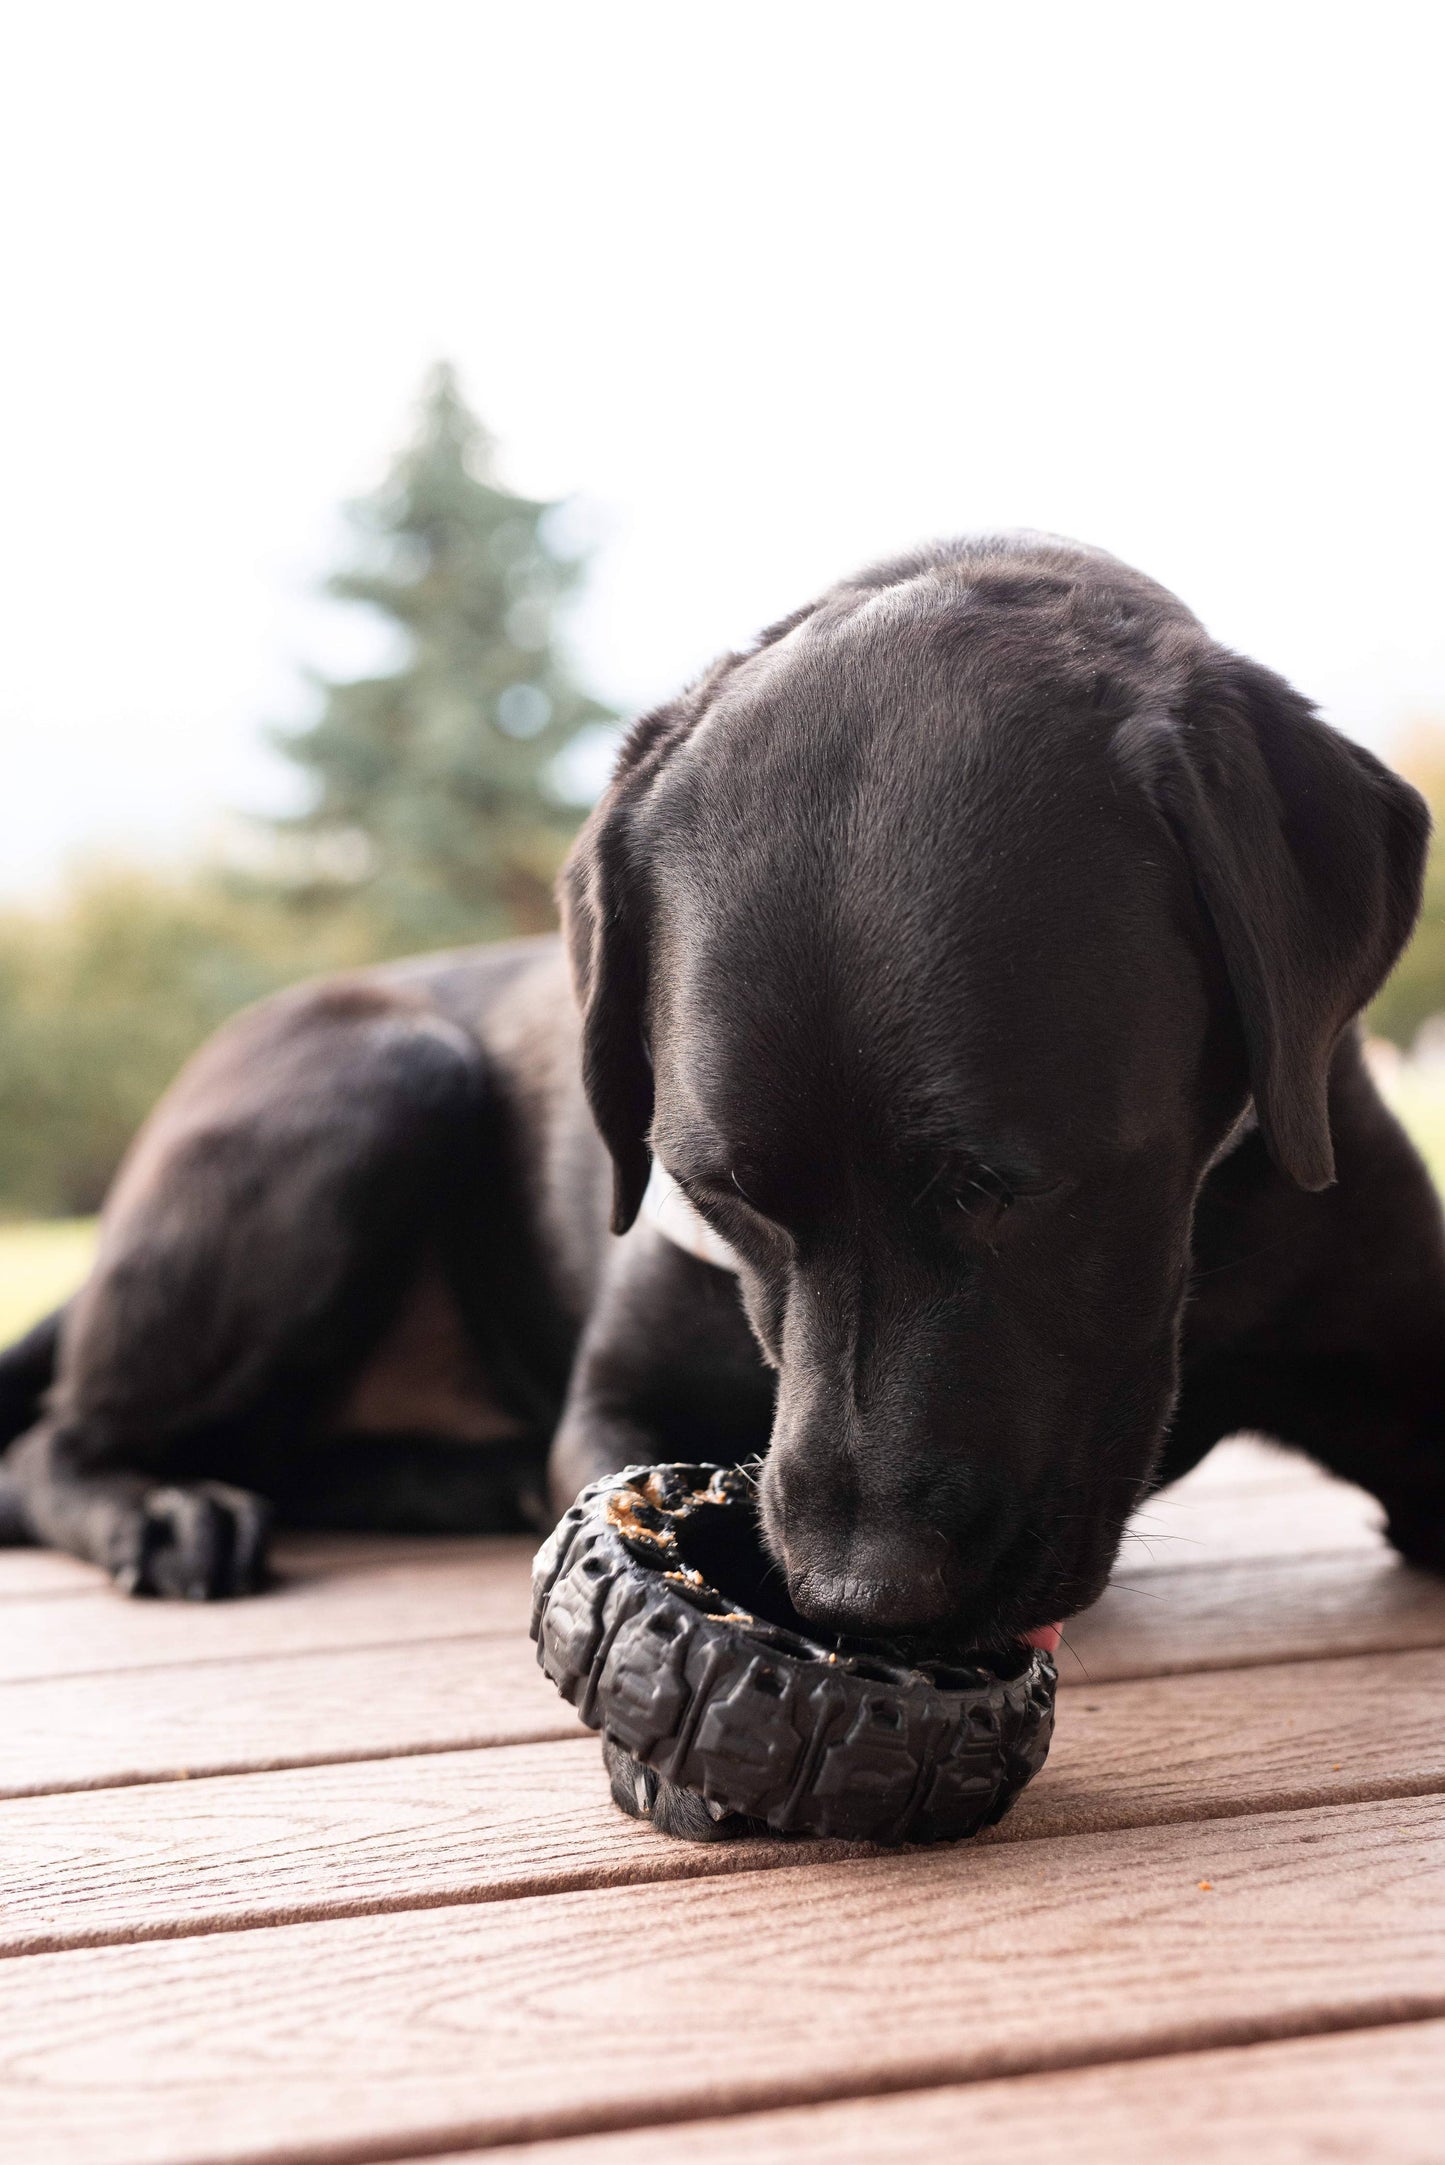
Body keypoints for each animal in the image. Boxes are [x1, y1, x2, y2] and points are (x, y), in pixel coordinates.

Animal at [2, 532, 1445, 1645]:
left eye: (1003, 1186)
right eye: (719, 1193)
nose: (854, 1596)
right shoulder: (616, 1404)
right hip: (379, 1077)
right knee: (48, 1447)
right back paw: (167, 1504)